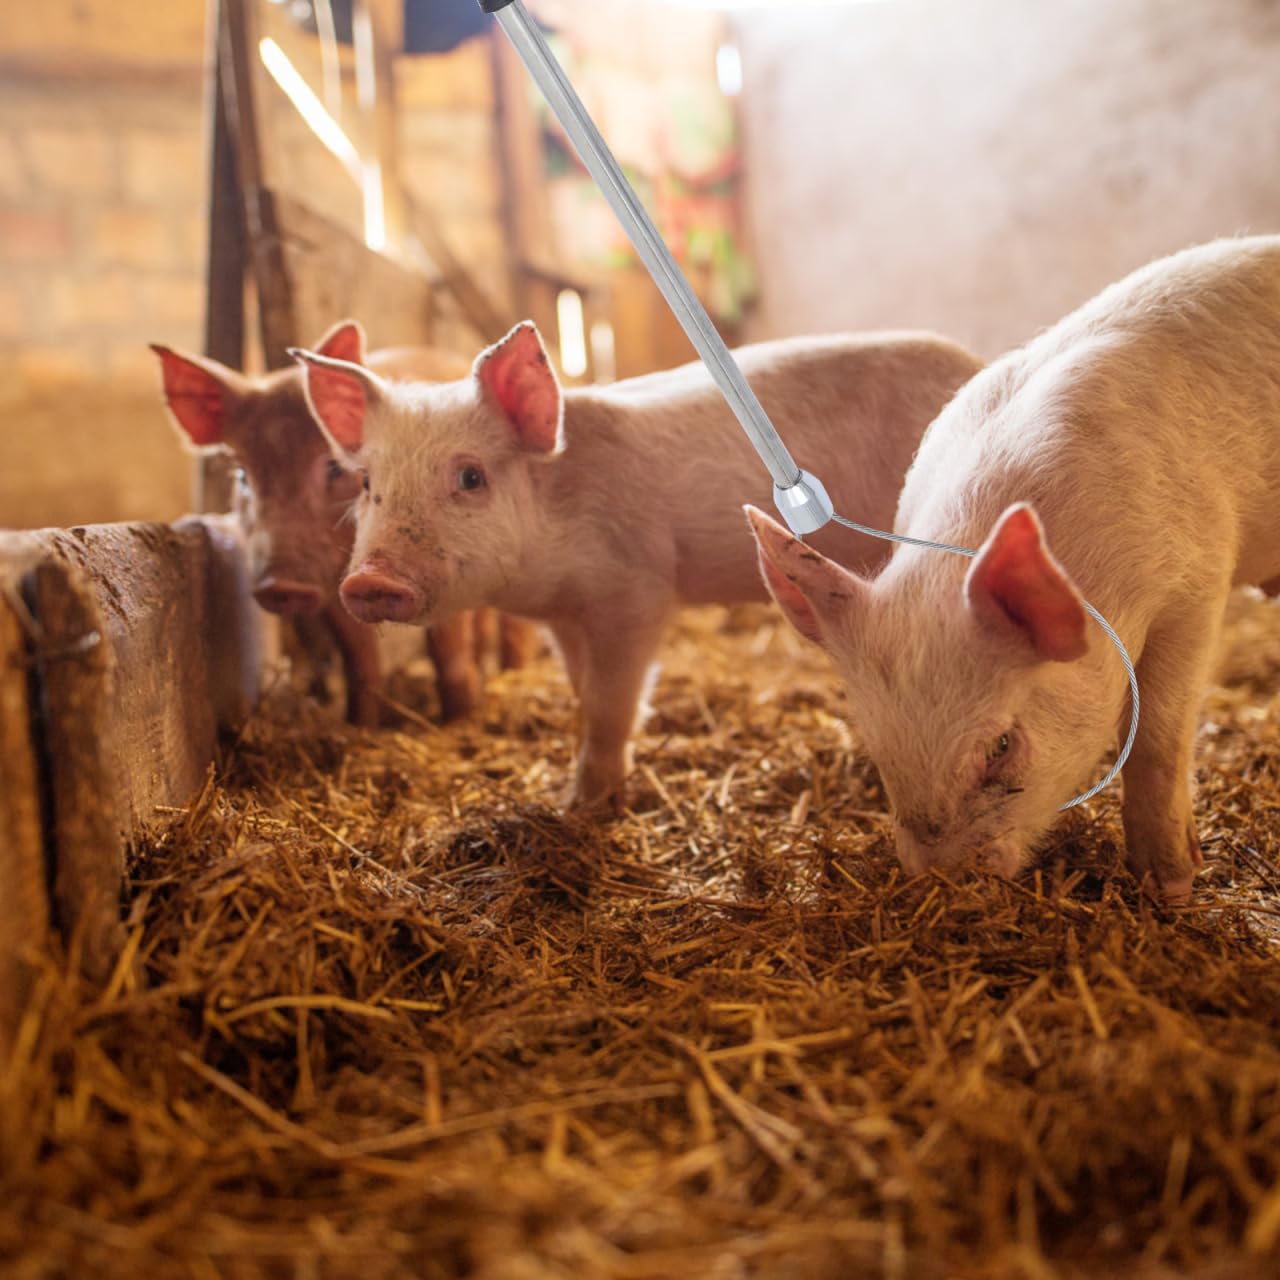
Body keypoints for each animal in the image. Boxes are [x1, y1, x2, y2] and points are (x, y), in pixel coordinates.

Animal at [151, 322, 535, 726]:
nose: (280, 586)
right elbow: (358, 656)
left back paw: (512, 675)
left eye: (334, 467)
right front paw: (359, 724)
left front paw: (457, 722)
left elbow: (448, 650)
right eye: (242, 475)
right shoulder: (338, 588)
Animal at [290, 323, 984, 808]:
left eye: (470, 477)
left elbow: (608, 701)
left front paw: (583, 806)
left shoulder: (636, 590)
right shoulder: (565, 618)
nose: (370, 580)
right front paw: (578, 795)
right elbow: (580, 690)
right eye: (367, 484)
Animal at [747, 235, 1280, 900]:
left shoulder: (1195, 586)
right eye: (875, 746)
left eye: (1000, 746)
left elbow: (1157, 738)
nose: (945, 882)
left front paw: (1172, 887)